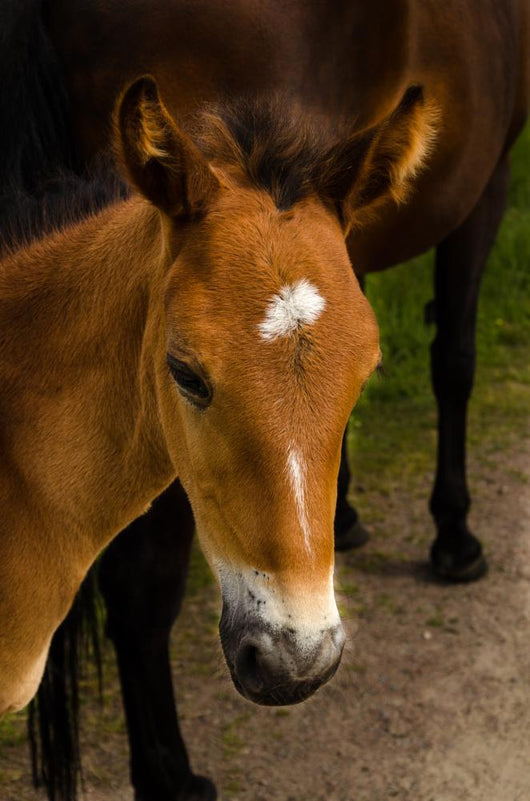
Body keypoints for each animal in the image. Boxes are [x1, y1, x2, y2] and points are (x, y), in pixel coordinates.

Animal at [3, 1, 528, 800]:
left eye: (366, 371)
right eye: (184, 372)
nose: (296, 658)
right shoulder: (487, 188)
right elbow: (456, 361)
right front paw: (455, 538)